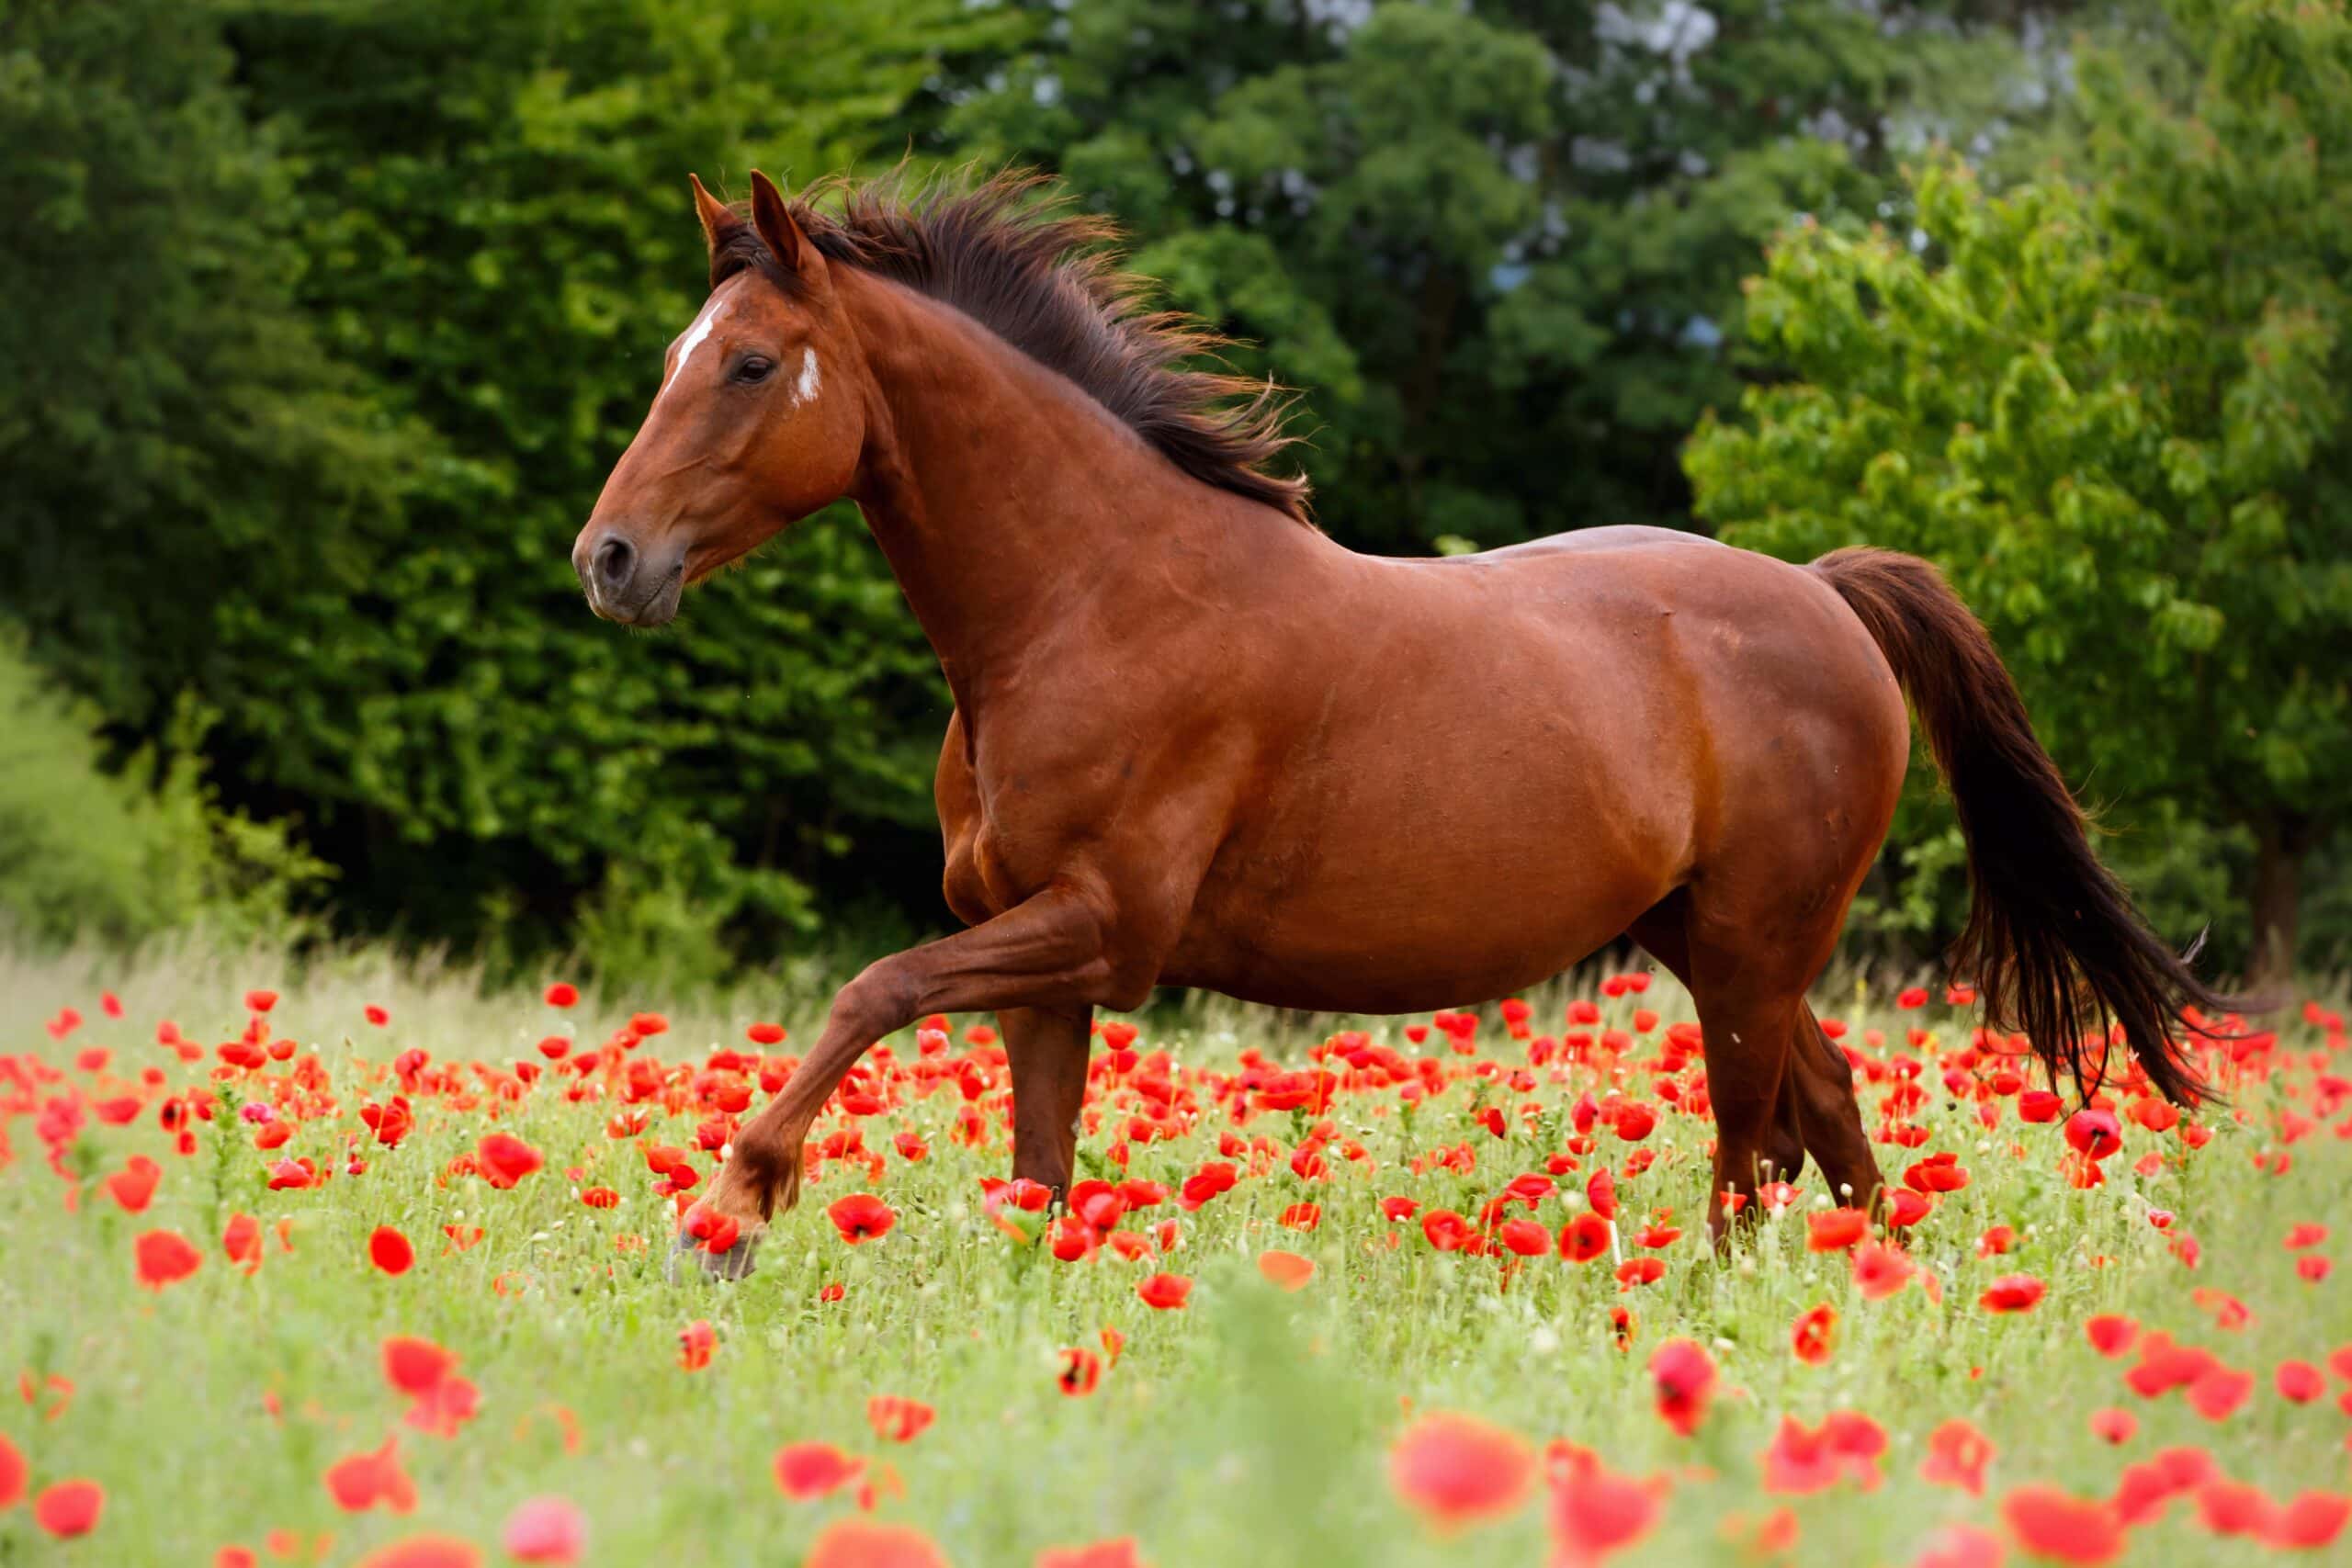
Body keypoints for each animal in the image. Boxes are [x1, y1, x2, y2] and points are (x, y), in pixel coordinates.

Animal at [578, 171, 2229, 1279]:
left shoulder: (1103, 927)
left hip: (1755, 945)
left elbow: (873, 987)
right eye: (668, 357)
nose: (611, 560)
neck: (1089, 597)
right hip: (1711, 937)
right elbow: (1037, 1172)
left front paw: (727, 1211)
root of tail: (1827, 596)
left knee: (1748, 1145)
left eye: (747, 363)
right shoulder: (1046, 958)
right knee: (1823, 1118)